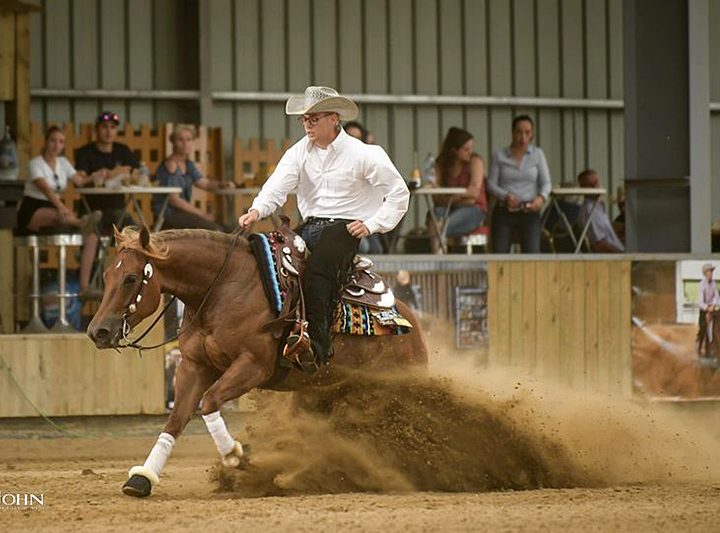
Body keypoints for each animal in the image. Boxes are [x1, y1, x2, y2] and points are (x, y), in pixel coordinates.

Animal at [89, 227, 428, 496]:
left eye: (131, 278)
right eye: (106, 275)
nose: (98, 331)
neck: (223, 288)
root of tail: (411, 325)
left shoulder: (252, 366)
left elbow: (209, 402)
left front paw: (238, 454)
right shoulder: (194, 366)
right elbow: (176, 419)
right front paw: (143, 478)